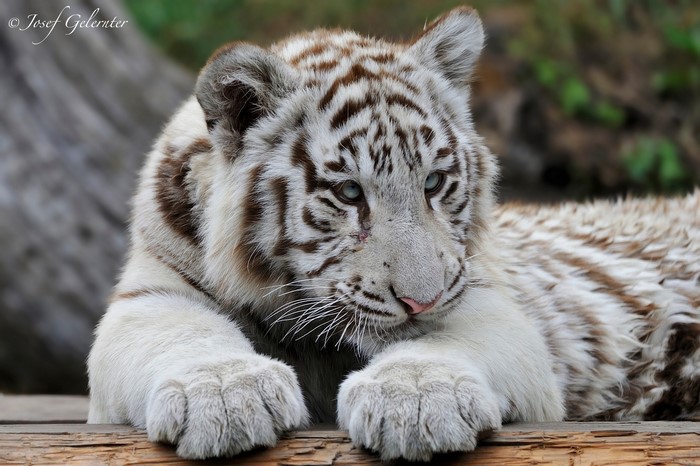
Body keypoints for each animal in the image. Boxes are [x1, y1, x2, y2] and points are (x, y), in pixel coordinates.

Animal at [87, 6, 700, 461]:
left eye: (433, 182)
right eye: (349, 193)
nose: (420, 300)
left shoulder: (487, 302)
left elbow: (443, 342)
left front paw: (416, 401)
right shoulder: (150, 292)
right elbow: (180, 333)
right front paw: (224, 396)